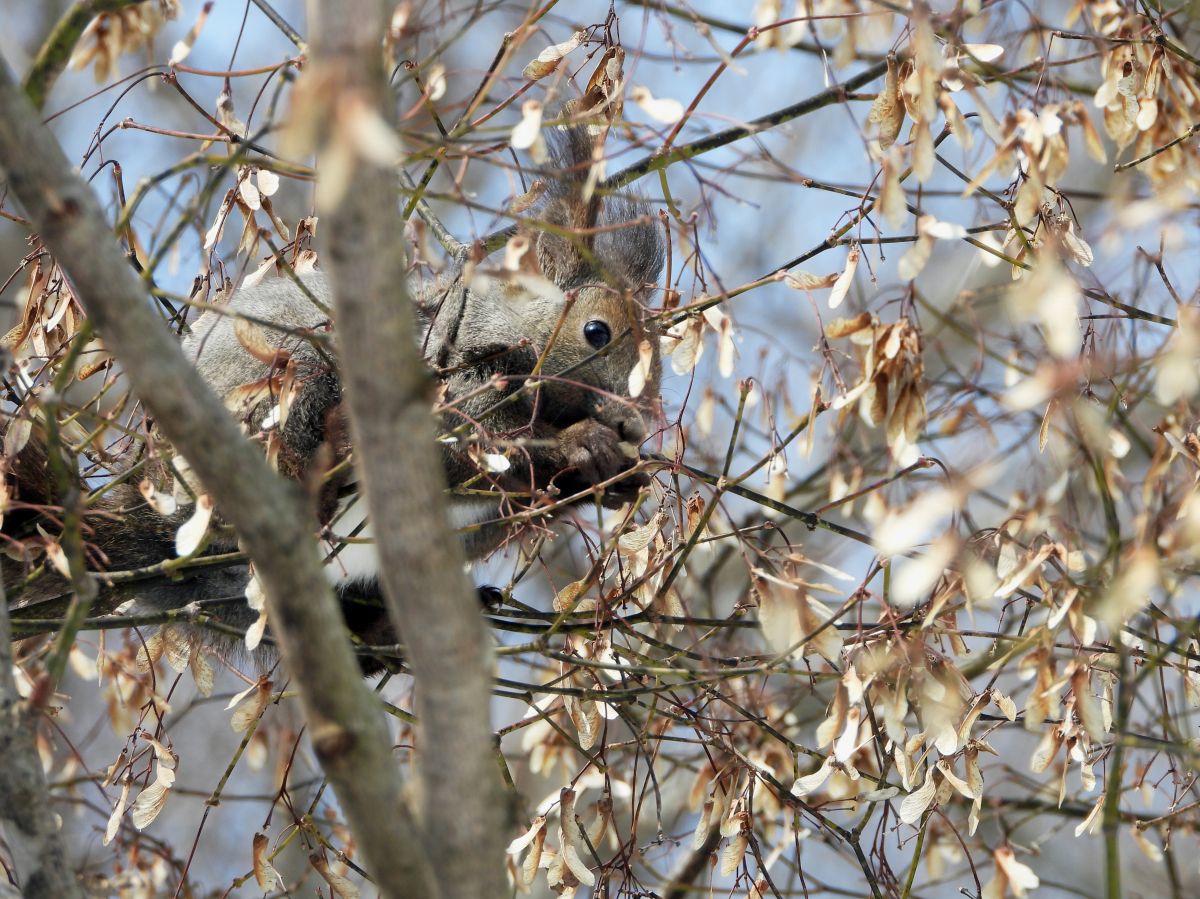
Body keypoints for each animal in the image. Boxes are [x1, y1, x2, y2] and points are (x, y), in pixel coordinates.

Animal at [3, 119, 664, 668]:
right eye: (596, 331)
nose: (636, 425)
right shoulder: (443, 383)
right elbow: (465, 451)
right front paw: (584, 446)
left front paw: (617, 473)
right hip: (283, 391)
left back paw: (381, 634)